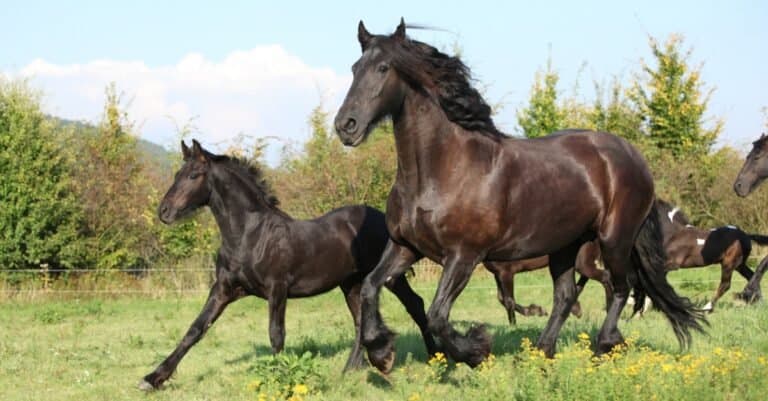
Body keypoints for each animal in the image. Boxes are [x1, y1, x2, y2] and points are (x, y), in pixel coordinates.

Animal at [138, 140, 438, 390]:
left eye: (193, 175)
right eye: (177, 174)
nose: (164, 211)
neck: (250, 235)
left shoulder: (277, 289)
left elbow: (276, 334)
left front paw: (280, 378)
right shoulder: (223, 289)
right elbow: (195, 329)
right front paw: (153, 378)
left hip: (391, 276)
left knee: (415, 304)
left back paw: (435, 356)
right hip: (351, 284)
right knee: (360, 321)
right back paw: (350, 369)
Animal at [333, 19, 706, 373]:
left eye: (383, 68)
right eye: (354, 68)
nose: (345, 126)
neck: (442, 172)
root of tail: (633, 156)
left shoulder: (464, 255)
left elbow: (439, 316)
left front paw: (477, 351)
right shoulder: (405, 246)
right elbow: (369, 287)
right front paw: (381, 353)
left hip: (614, 238)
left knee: (619, 287)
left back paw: (604, 346)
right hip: (565, 246)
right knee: (566, 297)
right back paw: (540, 354)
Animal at [630, 199, 768, 314]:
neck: (673, 234)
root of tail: (745, 235)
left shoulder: (671, 264)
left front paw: (638, 308)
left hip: (729, 263)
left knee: (725, 285)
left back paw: (706, 308)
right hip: (740, 264)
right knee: (751, 276)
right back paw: (758, 302)